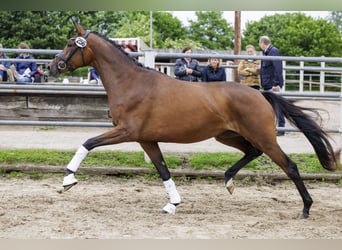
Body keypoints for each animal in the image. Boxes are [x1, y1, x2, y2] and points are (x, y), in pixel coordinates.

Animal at [49, 21, 338, 219]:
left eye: (72, 43)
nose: (53, 66)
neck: (131, 83)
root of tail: (260, 94)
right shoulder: (146, 139)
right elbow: (163, 170)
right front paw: (172, 204)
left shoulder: (126, 131)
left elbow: (88, 142)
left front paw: (68, 181)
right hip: (227, 135)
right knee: (252, 152)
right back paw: (228, 180)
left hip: (263, 137)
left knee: (290, 166)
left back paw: (306, 209)